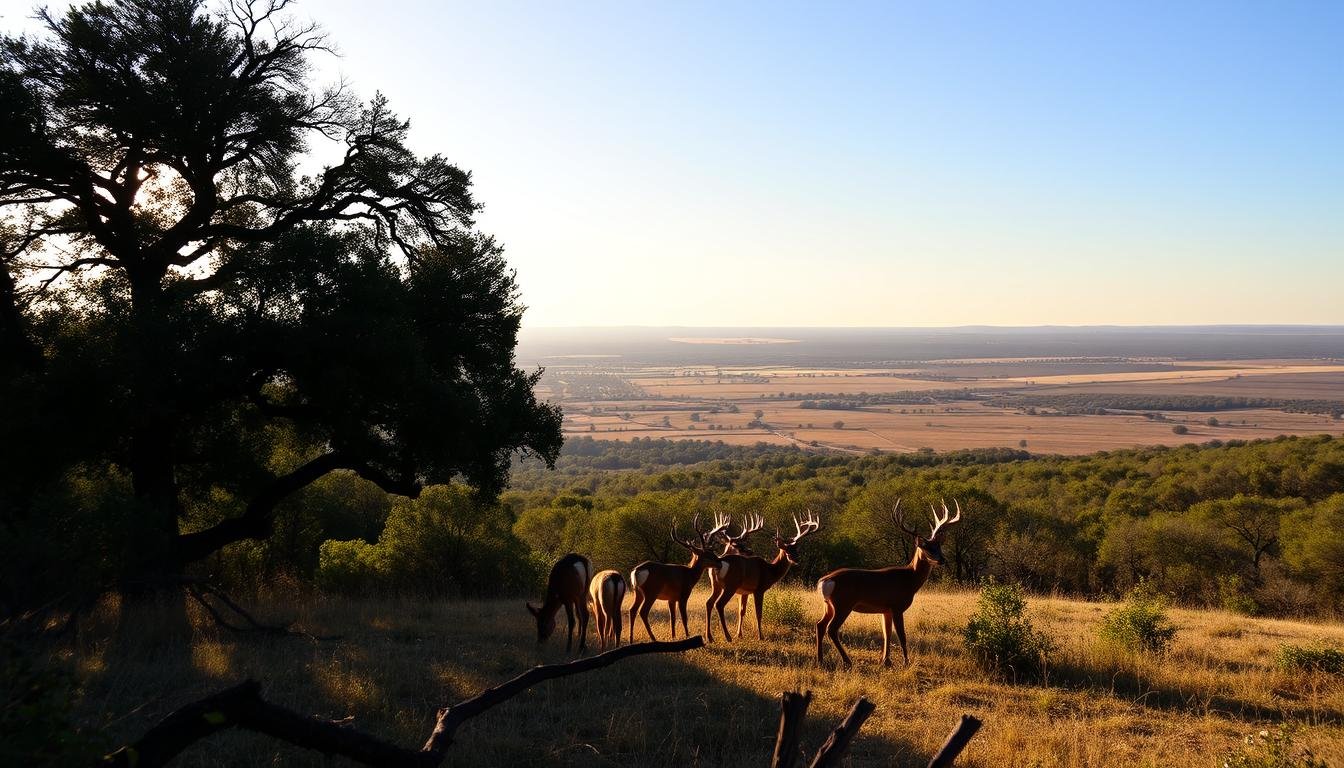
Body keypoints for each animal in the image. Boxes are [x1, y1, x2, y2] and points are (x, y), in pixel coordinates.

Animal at [626, 513, 731, 645]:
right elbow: (684, 617)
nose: (720, 563)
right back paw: (653, 638)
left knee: (632, 610)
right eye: (707, 555)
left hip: (638, 592)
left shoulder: (671, 599)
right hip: (651, 592)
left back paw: (631, 639)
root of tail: (636, 571)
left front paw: (673, 637)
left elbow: (673, 618)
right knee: (643, 611)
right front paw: (688, 636)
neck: (690, 575)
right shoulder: (683, 594)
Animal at [704, 511, 817, 642]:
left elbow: (742, 611)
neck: (770, 571)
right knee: (719, 604)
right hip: (730, 585)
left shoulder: (745, 592)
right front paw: (761, 636)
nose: (796, 560)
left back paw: (710, 637)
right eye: (787, 551)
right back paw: (727, 636)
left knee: (709, 602)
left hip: (716, 584)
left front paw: (739, 634)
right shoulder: (759, 589)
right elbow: (759, 613)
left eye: (795, 549)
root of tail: (718, 562)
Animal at [811, 497, 962, 667]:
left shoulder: (886, 609)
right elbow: (902, 635)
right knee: (831, 629)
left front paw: (886, 660)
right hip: (843, 604)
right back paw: (847, 660)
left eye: (939, 546)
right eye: (927, 548)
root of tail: (825, 581)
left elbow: (887, 633)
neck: (909, 579)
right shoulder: (897, 606)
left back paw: (820, 659)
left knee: (820, 625)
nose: (942, 560)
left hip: (828, 605)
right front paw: (906, 661)